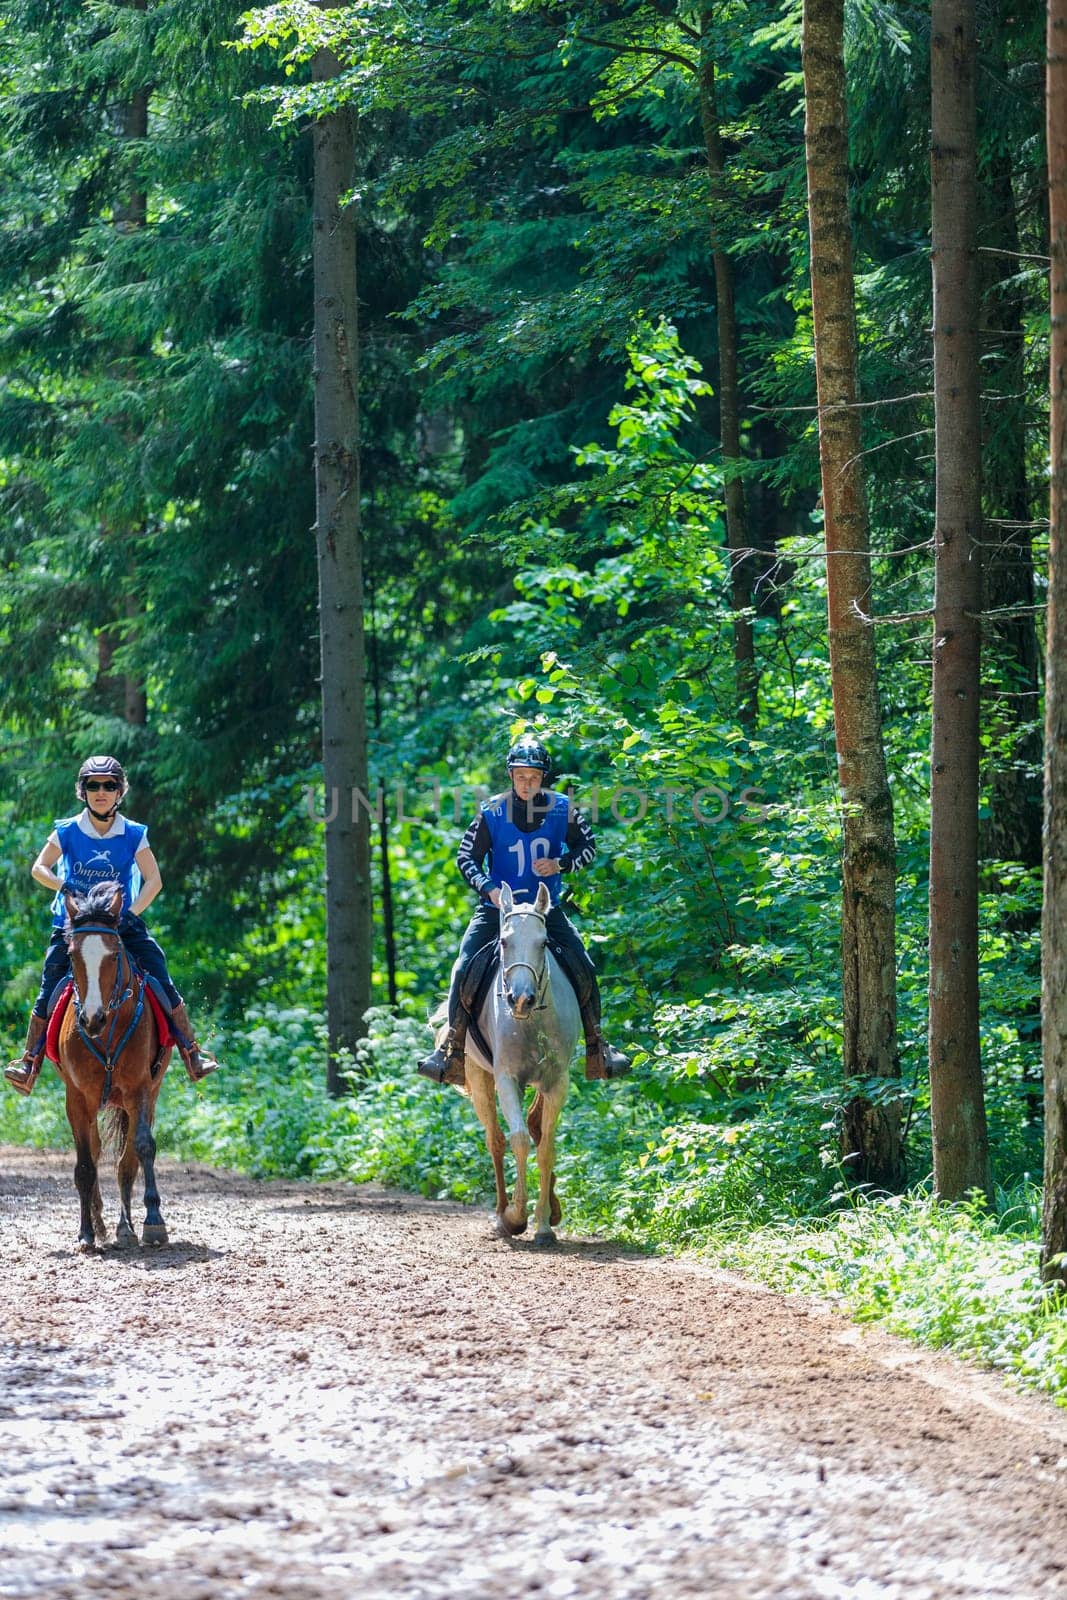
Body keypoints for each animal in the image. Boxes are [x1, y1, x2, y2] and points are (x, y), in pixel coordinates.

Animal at [57, 889, 173, 1248]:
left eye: (114, 955)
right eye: (71, 955)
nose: (92, 1019)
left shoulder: (140, 1090)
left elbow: (140, 1151)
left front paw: (152, 1221)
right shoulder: (77, 1099)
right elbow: (84, 1165)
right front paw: (85, 1233)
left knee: (126, 1160)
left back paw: (124, 1227)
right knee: (93, 1154)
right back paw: (98, 1223)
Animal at [441, 883, 579, 1241]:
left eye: (543, 943)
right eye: (504, 941)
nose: (521, 999)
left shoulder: (557, 1081)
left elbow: (546, 1147)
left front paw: (543, 1224)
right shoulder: (506, 1079)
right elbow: (518, 1140)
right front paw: (516, 1216)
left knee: (535, 1127)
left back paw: (551, 1210)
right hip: (479, 1078)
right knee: (496, 1141)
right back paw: (501, 1213)